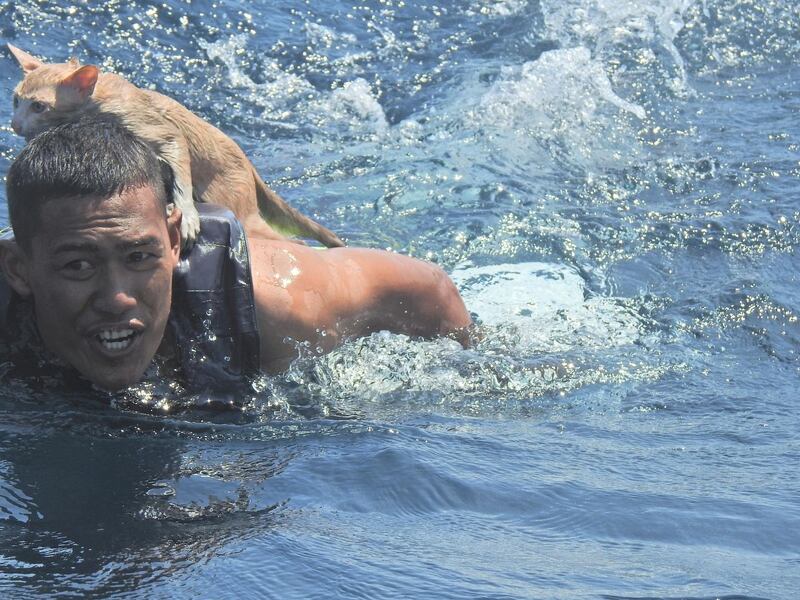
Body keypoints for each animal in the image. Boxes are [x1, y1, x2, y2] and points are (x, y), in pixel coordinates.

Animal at [7, 43, 344, 247]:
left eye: (38, 107)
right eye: (15, 101)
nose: (14, 125)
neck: (97, 101)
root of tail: (248, 162)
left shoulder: (157, 129)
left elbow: (176, 156)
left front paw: (188, 215)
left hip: (233, 200)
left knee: (290, 241)